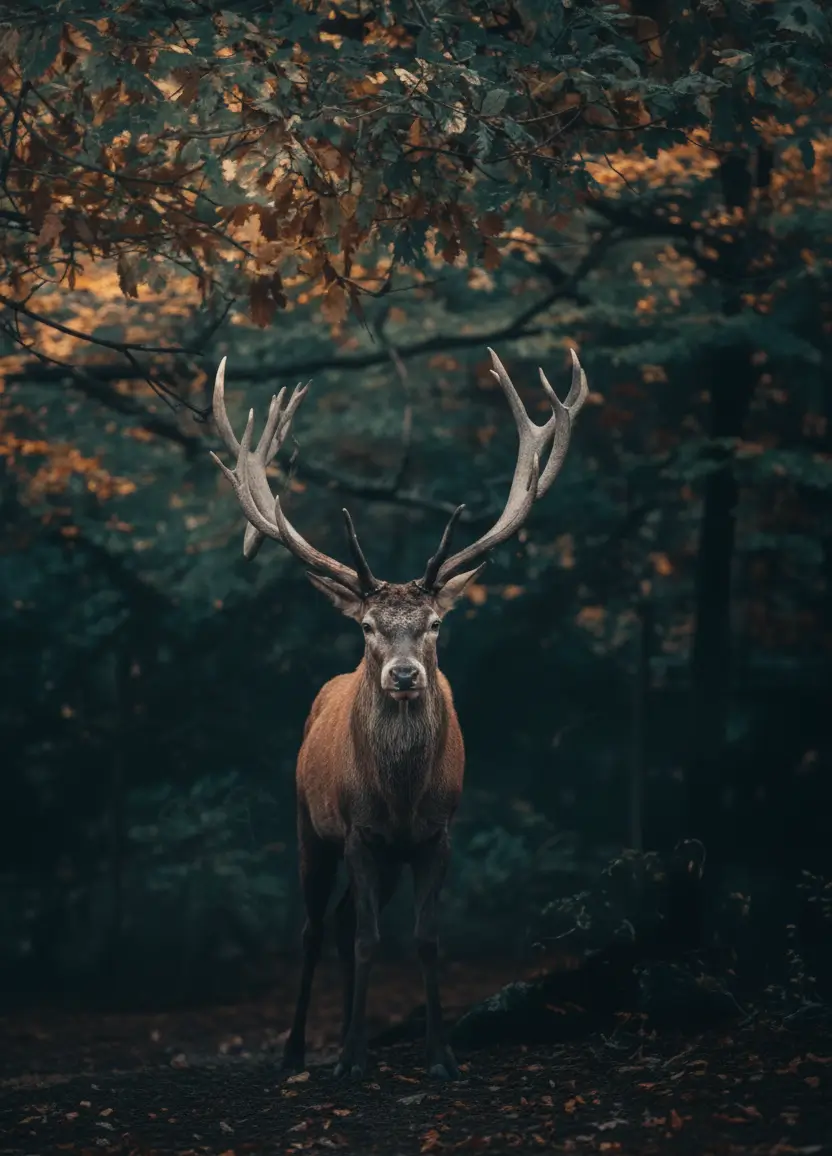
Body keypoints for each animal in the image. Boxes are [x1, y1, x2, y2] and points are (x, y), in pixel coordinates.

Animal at [209, 346, 588, 1080]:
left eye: (436, 623)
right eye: (367, 627)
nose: (404, 673)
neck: (402, 796)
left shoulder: (437, 834)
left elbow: (425, 938)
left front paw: (440, 1055)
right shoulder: (358, 831)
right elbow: (365, 942)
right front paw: (353, 1058)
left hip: (379, 857)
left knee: (345, 921)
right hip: (308, 823)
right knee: (316, 927)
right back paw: (298, 1051)